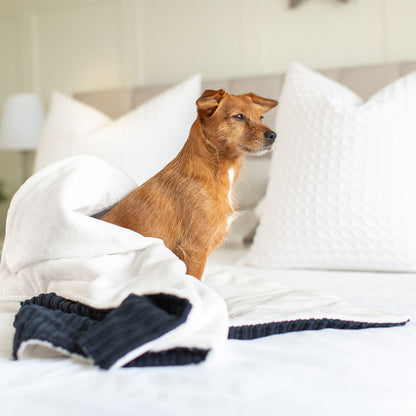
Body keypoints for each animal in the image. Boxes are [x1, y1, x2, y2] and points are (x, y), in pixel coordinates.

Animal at [101, 90, 276, 280]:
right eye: (239, 116)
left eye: (261, 117)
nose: (273, 135)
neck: (212, 172)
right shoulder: (195, 250)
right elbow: (195, 282)